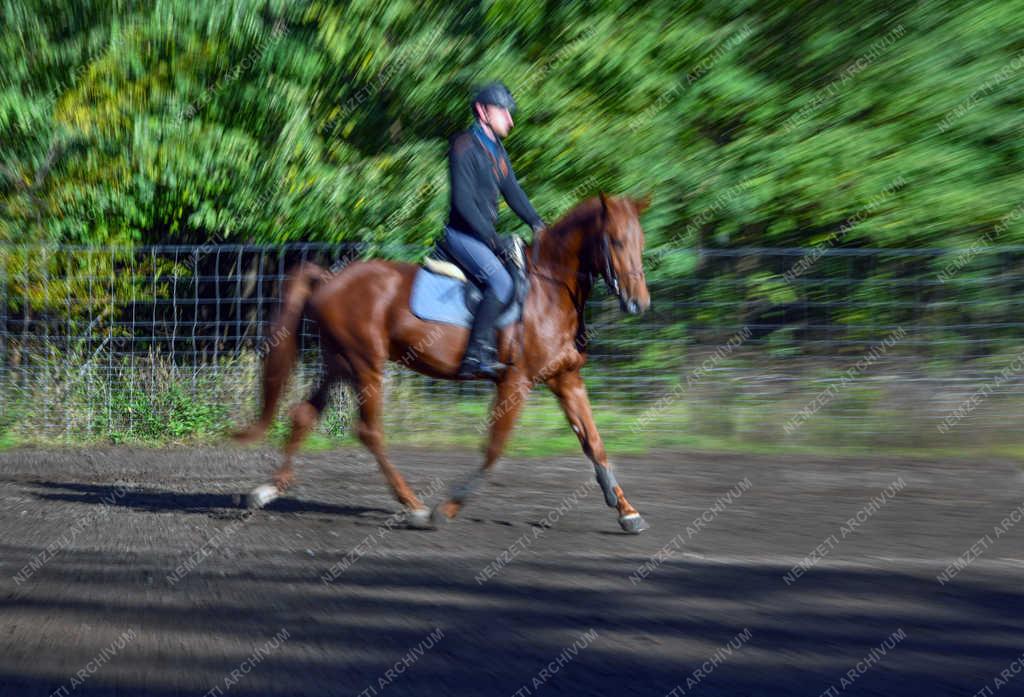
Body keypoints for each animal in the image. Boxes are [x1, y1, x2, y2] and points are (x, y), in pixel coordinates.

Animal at [232, 190, 651, 532]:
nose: (639, 304)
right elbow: (494, 448)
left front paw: (628, 512)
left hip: (339, 362)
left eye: (640, 241)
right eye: (615, 240)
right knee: (369, 431)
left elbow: (595, 442)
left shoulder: (566, 379)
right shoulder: (515, 383)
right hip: (365, 364)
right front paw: (448, 508)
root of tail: (328, 279)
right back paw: (415, 506)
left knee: (304, 413)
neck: (550, 291)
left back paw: (267, 489)